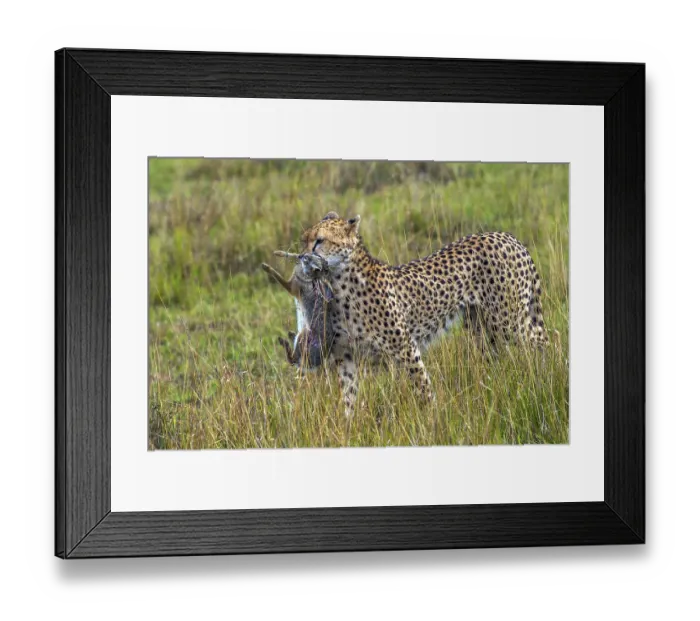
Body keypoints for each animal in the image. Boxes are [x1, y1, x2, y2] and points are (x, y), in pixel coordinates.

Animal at [299, 211, 549, 417]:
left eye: (320, 241)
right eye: (305, 239)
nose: (302, 257)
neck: (340, 284)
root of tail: (507, 236)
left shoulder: (406, 348)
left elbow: (423, 387)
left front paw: (433, 419)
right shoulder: (346, 355)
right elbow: (349, 397)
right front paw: (350, 427)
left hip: (509, 321)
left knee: (543, 340)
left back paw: (547, 374)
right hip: (483, 327)